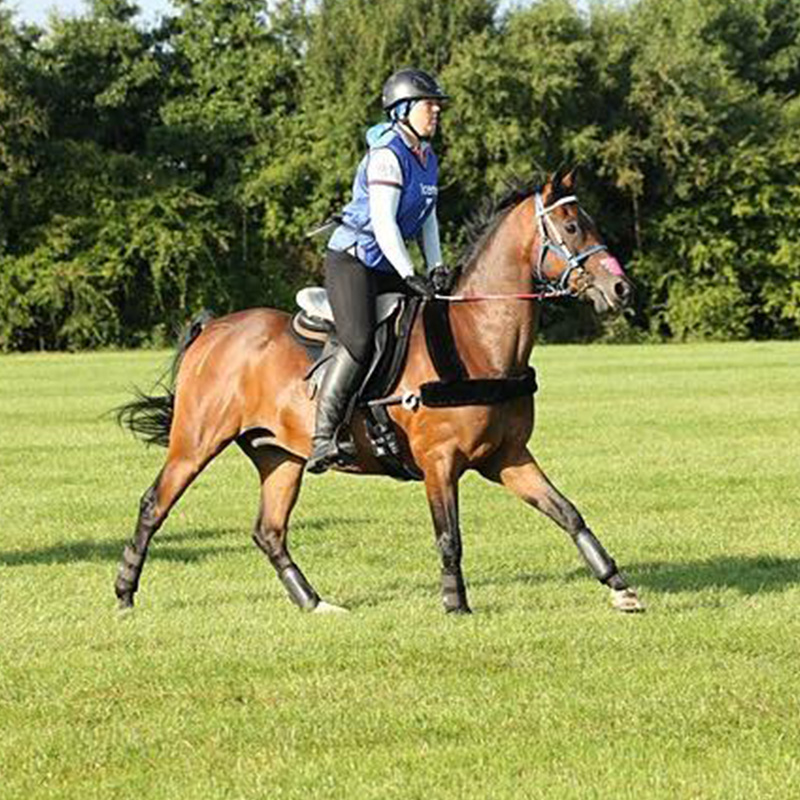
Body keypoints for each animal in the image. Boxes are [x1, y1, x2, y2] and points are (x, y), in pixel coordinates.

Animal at [115, 170, 644, 615]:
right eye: (572, 227)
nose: (621, 289)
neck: (478, 339)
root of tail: (213, 330)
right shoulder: (440, 462)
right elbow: (449, 537)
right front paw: (456, 604)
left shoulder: (507, 457)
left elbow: (567, 512)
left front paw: (619, 587)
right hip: (197, 441)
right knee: (154, 504)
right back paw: (124, 593)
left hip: (278, 455)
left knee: (269, 531)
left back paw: (314, 603)